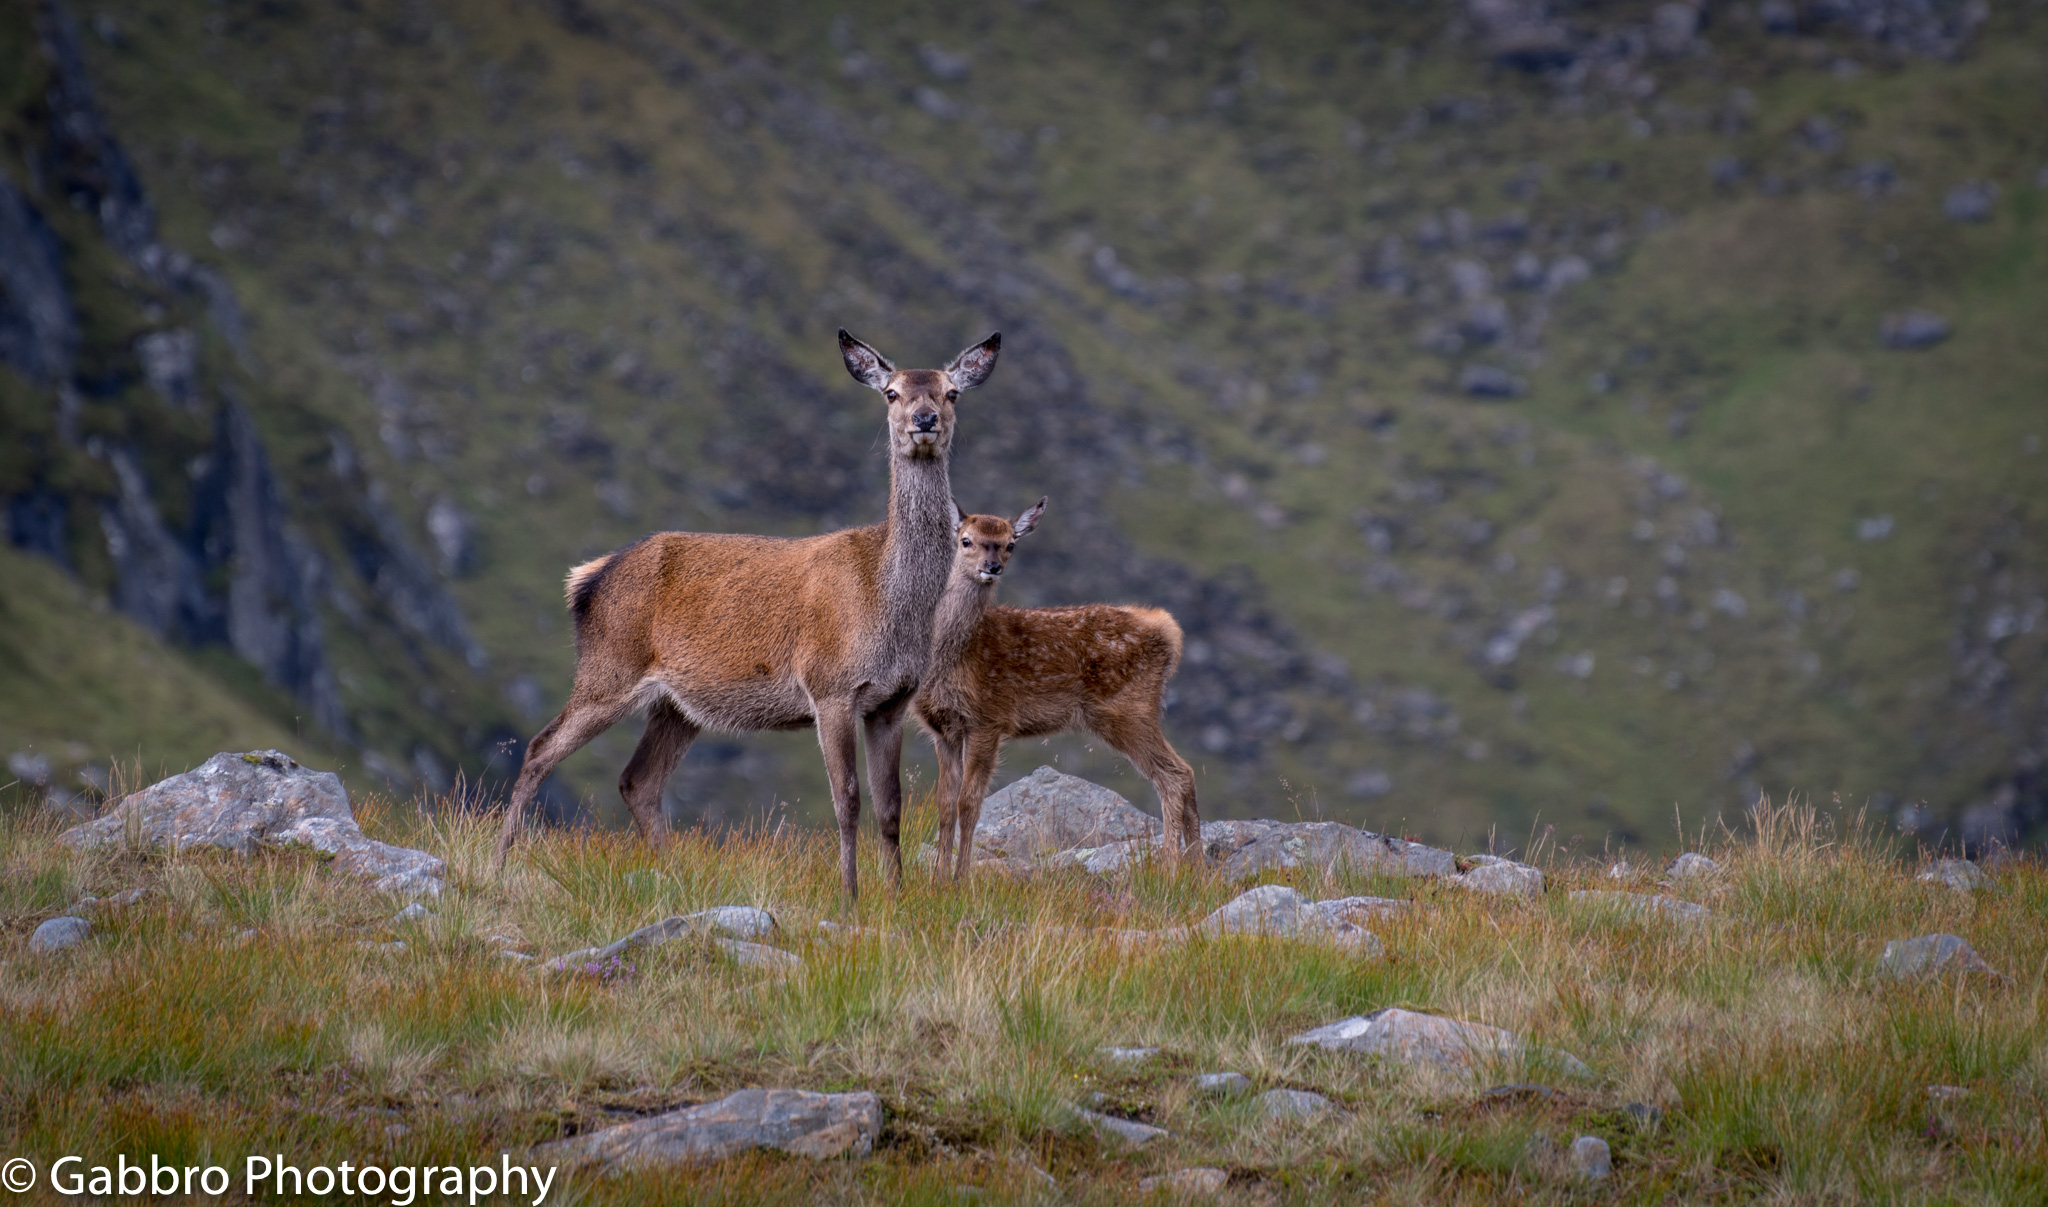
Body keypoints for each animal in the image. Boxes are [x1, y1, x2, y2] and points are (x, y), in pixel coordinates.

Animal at [491, 329, 1001, 899]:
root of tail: (587, 578)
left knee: (638, 779)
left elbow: (891, 807)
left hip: (676, 704)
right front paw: (850, 895)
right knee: (540, 748)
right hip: (609, 667)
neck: (890, 602)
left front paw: (895, 894)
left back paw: (672, 877)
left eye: (951, 392)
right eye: (891, 392)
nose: (925, 418)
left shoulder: (892, 701)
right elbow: (847, 800)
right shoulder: (830, 686)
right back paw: (499, 863)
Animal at [916, 499, 1202, 882]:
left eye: (1010, 544)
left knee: (1175, 775)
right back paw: (1197, 867)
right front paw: (937, 879)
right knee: (1182, 774)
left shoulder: (988, 717)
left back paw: (1171, 867)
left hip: (1128, 709)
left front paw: (961, 879)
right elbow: (945, 805)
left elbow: (969, 803)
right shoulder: (944, 728)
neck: (952, 655)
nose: (992, 567)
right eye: (966, 540)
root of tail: (1167, 628)